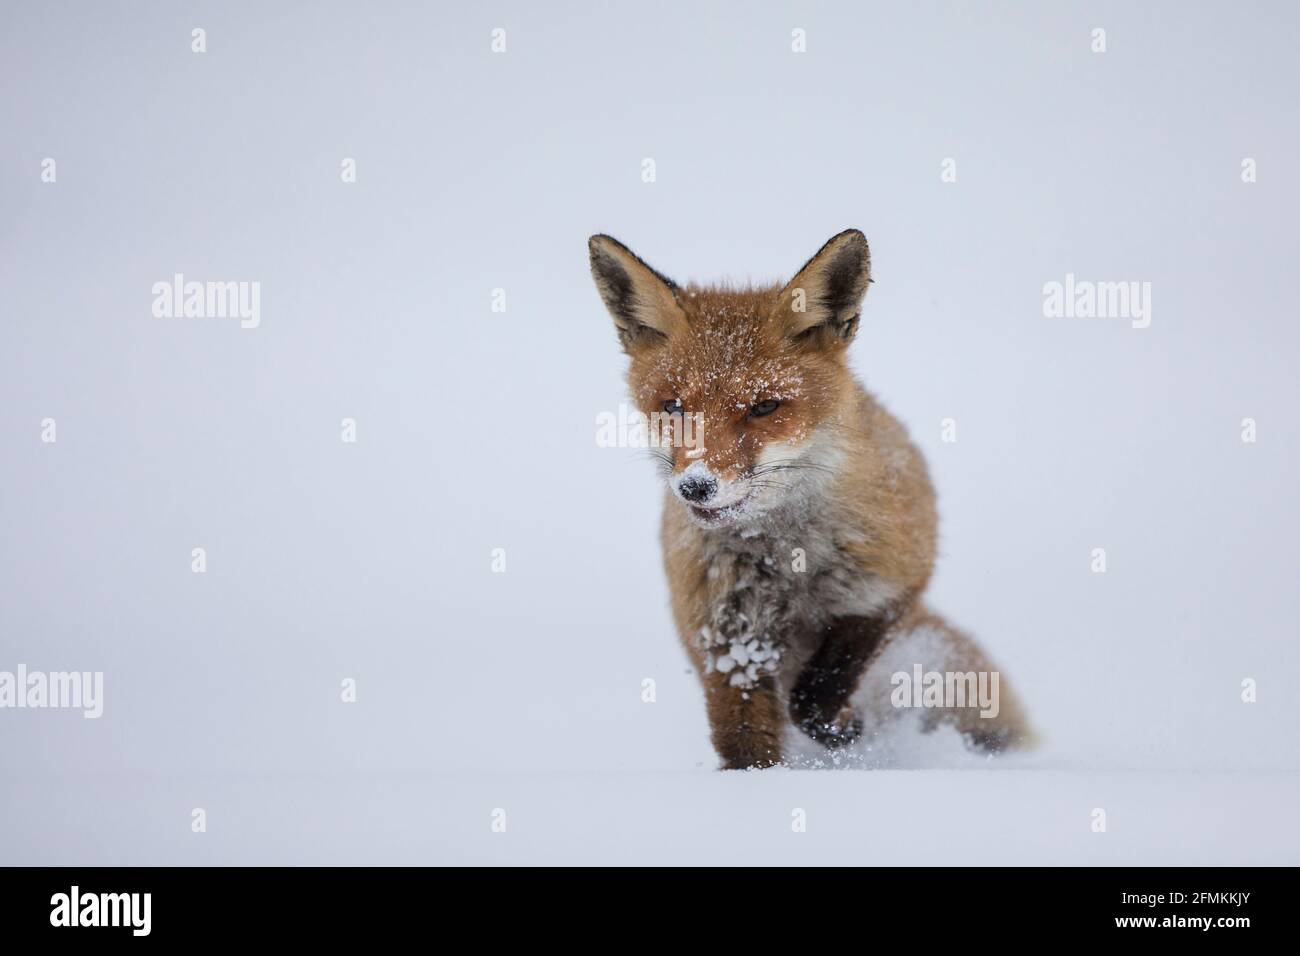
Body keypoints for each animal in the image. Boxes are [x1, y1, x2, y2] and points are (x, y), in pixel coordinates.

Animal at [592, 230, 1034, 770]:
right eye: (674, 407)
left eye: (764, 406)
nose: (695, 486)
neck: (787, 560)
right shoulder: (724, 636)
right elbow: (744, 743)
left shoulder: (890, 586)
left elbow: (816, 693)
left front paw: (844, 728)